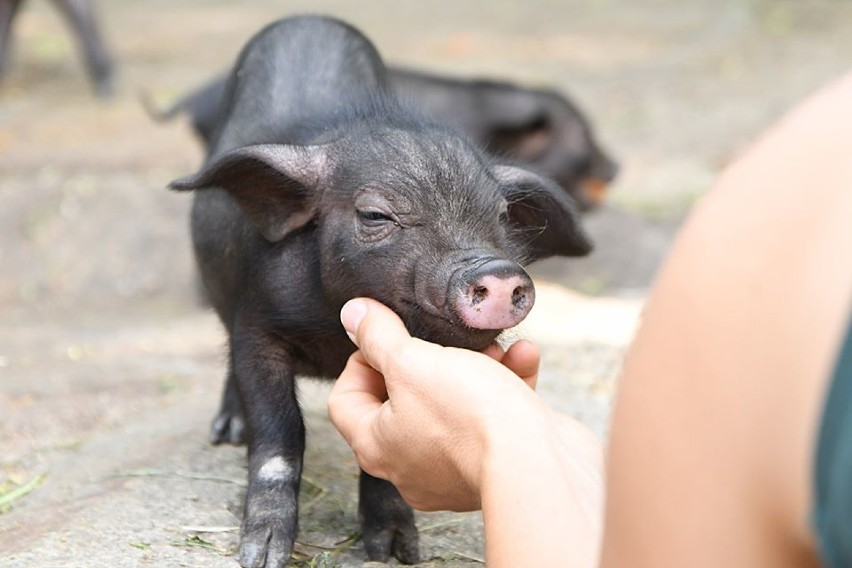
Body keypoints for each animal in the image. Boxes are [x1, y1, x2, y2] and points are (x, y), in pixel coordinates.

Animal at [170, 13, 588, 568]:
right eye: (375, 215)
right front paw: (262, 555)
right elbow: (280, 431)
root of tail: (308, 17)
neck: (332, 333)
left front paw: (395, 551)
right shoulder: (256, 327)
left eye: (501, 215)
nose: (497, 271)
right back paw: (228, 433)